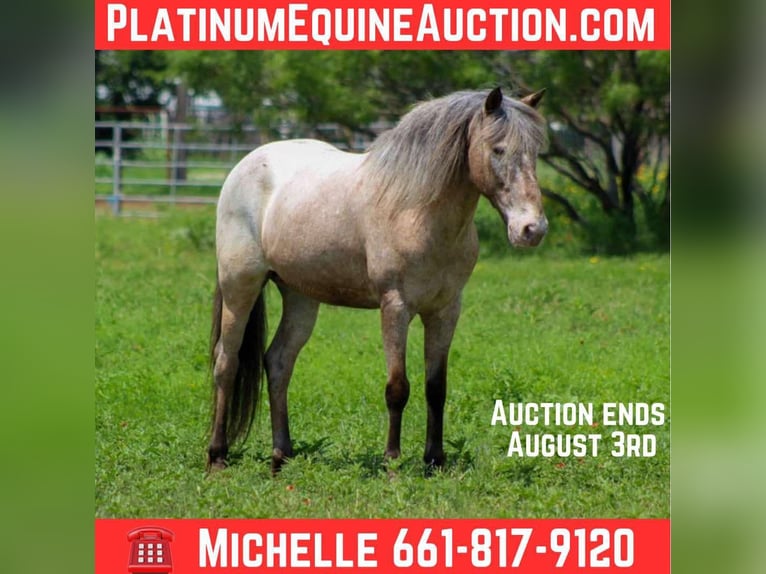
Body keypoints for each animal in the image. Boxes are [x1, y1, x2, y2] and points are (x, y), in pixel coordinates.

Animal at [207, 87, 547, 473]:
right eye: (498, 150)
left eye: (535, 153)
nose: (532, 229)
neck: (419, 212)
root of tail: (244, 165)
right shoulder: (395, 307)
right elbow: (397, 387)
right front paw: (392, 462)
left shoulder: (445, 310)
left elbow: (436, 387)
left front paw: (435, 461)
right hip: (240, 286)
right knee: (226, 362)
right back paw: (217, 455)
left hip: (300, 297)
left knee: (278, 363)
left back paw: (282, 456)